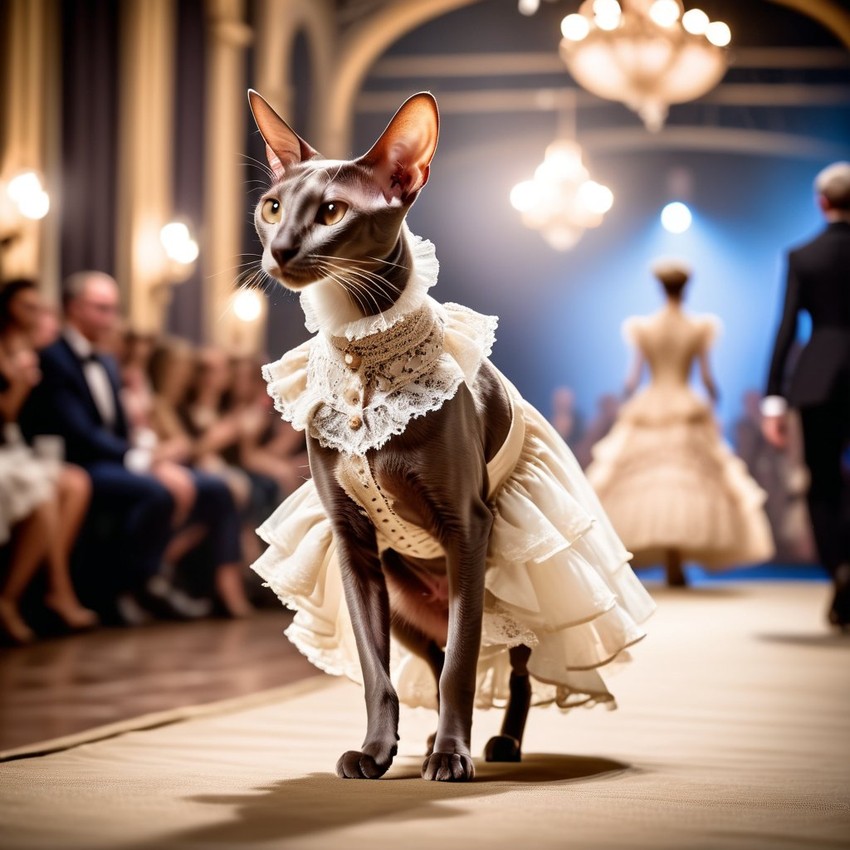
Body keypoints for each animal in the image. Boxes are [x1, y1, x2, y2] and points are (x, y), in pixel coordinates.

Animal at [248, 89, 536, 780]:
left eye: (332, 211)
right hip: (405, 601)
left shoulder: (466, 527)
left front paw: (453, 758)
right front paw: (378, 752)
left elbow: (462, 666)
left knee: (507, 667)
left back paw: (500, 744)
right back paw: (429, 742)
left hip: (502, 596)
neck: (363, 353)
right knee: (432, 658)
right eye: (272, 207)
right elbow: (379, 672)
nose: (280, 250)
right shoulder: (352, 543)